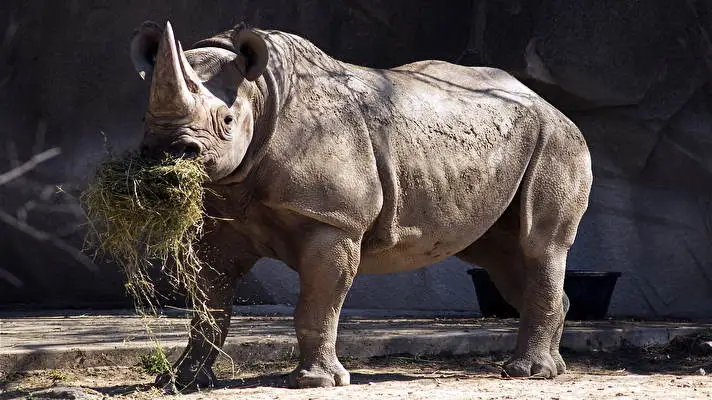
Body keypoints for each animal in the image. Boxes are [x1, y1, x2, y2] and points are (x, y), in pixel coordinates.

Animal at [129, 20, 592, 391]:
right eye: (143, 120)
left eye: (226, 122)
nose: (168, 152)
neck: (261, 95)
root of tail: (547, 102)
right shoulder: (221, 223)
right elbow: (209, 306)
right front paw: (181, 381)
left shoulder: (334, 221)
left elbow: (318, 302)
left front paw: (315, 383)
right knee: (501, 254)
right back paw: (554, 367)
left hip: (557, 140)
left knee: (540, 245)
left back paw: (528, 373)